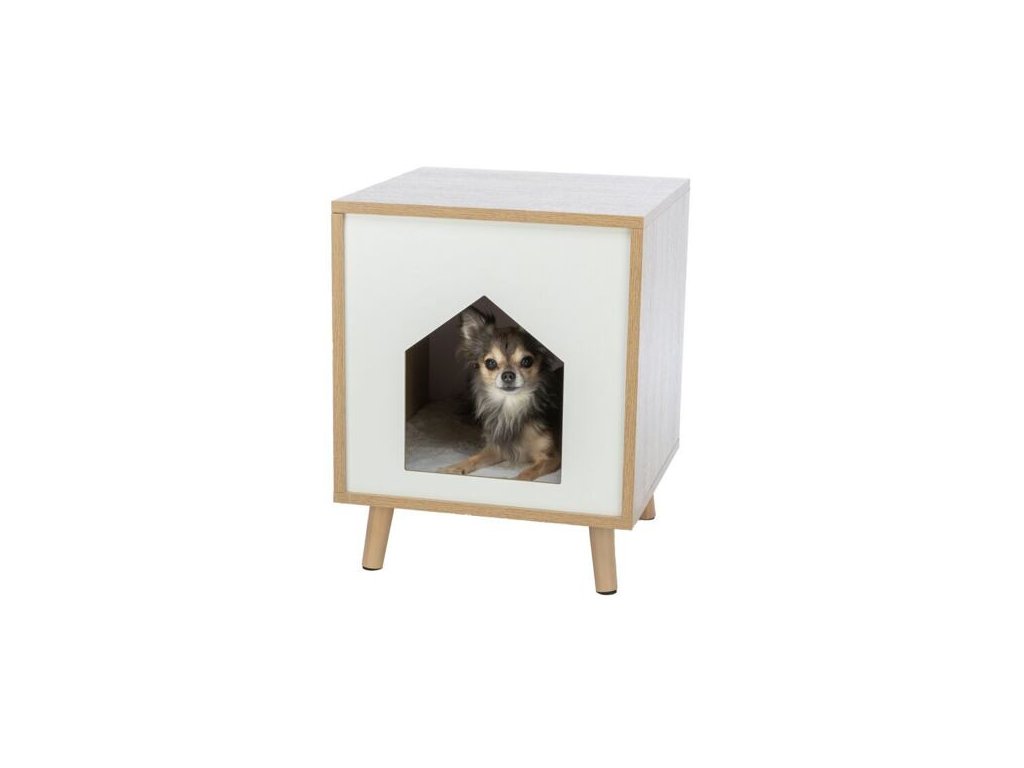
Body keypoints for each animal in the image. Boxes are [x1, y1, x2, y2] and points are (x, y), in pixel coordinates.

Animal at [441, 307, 561, 481]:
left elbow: (526, 473)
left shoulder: (551, 457)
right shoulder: (497, 449)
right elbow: (474, 457)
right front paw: (455, 467)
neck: (511, 406)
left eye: (527, 361)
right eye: (490, 363)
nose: (508, 375)